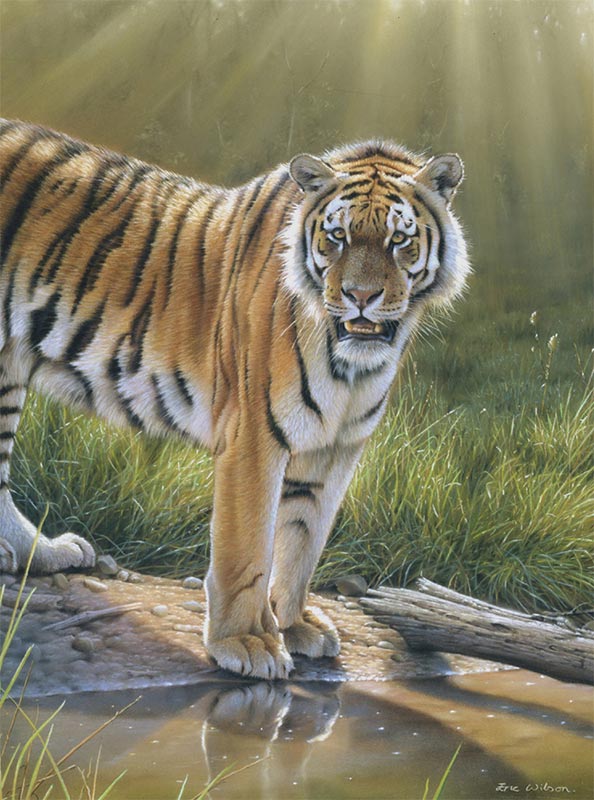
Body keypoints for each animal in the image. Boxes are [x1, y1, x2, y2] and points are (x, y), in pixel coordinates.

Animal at [0, 119, 469, 679]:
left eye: (399, 240)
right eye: (338, 236)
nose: (360, 297)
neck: (353, 365)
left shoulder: (335, 448)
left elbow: (303, 541)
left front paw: (293, 624)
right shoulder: (253, 435)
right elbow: (247, 548)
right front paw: (244, 642)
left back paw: (42, 554)